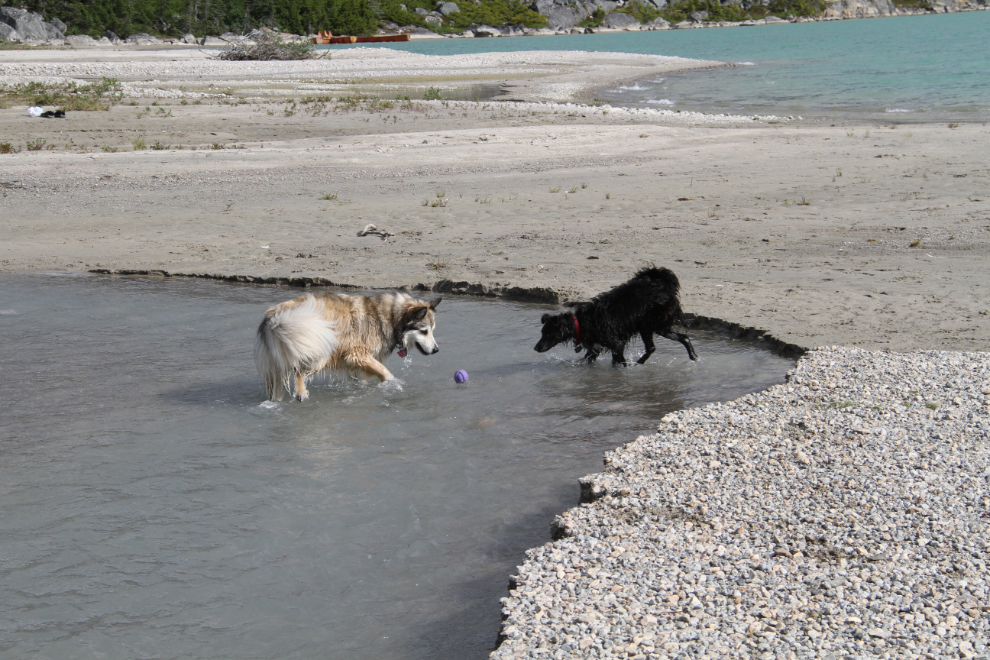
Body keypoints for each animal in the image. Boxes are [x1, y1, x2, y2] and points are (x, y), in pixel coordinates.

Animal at [256, 292, 442, 402]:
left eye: (432, 330)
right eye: (424, 331)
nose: (436, 350)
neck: (389, 318)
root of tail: (276, 316)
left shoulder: (357, 364)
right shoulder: (357, 354)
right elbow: (386, 373)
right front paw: (391, 385)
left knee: (277, 389)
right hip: (319, 350)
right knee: (299, 372)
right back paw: (301, 393)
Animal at [536, 266, 696, 364]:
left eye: (548, 334)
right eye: (542, 333)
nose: (536, 348)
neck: (582, 322)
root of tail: (662, 284)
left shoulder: (616, 344)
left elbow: (618, 362)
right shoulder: (594, 349)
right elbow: (586, 360)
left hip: (647, 324)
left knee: (651, 348)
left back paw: (638, 363)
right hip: (659, 326)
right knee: (684, 337)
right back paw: (693, 355)